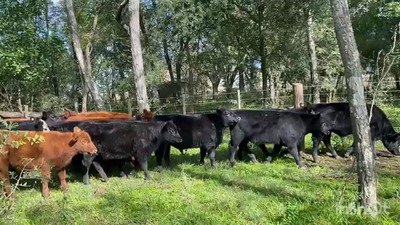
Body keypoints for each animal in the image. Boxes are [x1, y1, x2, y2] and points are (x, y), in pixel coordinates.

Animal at [48, 120, 183, 184]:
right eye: (172, 130)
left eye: (177, 129)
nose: (180, 139)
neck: (150, 133)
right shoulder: (140, 153)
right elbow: (144, 166)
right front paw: (148, 177)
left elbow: (134, 166)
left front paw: (129, 174)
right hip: (89, 154)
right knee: (86, 164)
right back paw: (87, 181)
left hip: (97, 153)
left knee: (96, 164)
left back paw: (106, 179)